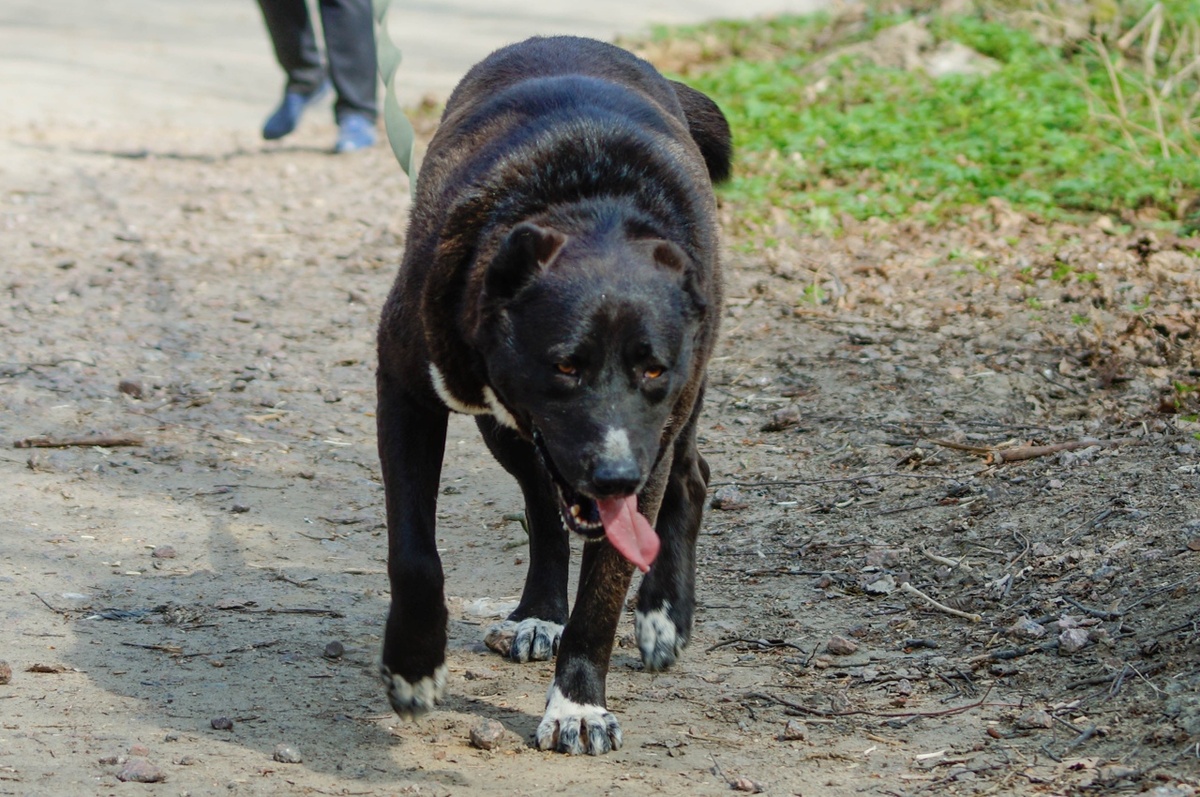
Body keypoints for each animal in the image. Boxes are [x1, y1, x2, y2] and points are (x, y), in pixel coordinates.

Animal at [374, 35, 729, 753]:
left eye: (654, 370)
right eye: (565, 365)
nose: (616, 477)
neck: (590, 203)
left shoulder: (650, 445)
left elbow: (605, 591)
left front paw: (578, 705)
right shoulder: (404, 391)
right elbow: (414, 553)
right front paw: (414, 666)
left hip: (674, 423)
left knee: (691, 475)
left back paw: (664, 613)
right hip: (505, 431)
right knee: (542, 503)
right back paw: (539, 613)